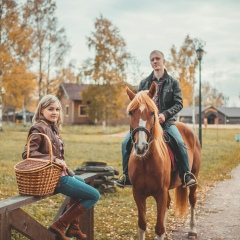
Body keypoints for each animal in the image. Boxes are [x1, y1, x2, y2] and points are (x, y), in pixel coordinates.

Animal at [126, 82, 202, 240]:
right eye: (131, 112)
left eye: (152, 113)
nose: (141, 147)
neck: (146, 162)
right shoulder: (138, 194)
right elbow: (142, 226)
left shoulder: (160, 193)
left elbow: (159, 228)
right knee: (169, 203)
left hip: (193, 178)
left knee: (192, 200)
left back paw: (192, 230)